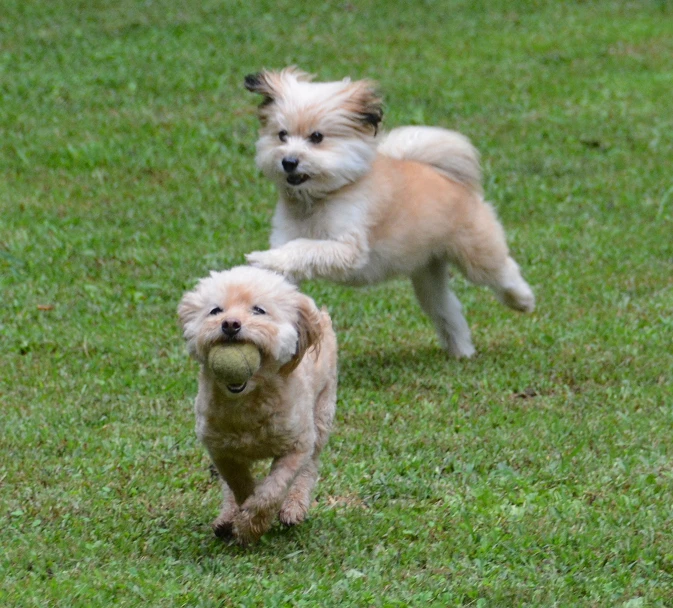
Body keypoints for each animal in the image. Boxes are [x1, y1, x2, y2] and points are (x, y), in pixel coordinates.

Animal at [178, 268, 336, 544]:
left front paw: (252, 524)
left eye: (259, 310)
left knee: (310, 468)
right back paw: (226, 518)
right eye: (215, 310)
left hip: (322, 414)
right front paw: (241, 515)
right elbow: (238, 484)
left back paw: (293, 507)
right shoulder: (221, 451)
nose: (230, 324)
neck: (247, 402)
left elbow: (272, 490)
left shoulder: (297, 446)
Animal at [244, 69, 532, 358]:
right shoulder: (287, 237)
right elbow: (284, 267)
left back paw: (522, 300)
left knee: (502, 270)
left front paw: (263, 259)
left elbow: (305, 247)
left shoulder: (348, 248)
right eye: (282, 135)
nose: (288, 162)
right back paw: (462, 351)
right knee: (446, 309)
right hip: (427, 273)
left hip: (476, 253)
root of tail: (450, 178)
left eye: (317, 137)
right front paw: (266, 269)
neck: (317, 199)